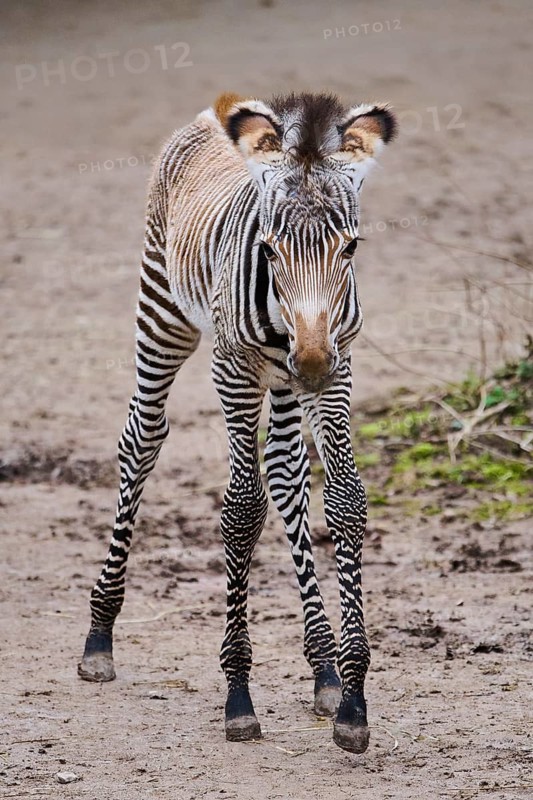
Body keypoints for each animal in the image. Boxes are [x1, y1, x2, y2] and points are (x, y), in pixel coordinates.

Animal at [78, 91, 396, 754]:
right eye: (269, 249)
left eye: (351, 248)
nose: (310, 361)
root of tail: (214, 110)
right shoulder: (233, 371)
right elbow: (243, 511)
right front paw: (239, 695)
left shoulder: (339, 368)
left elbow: (344, 500)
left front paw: (350, 699)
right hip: (163, 311)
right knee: (142, 439)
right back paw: (99, 635)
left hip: (280, 386)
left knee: (287, 474)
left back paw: (322, 668)